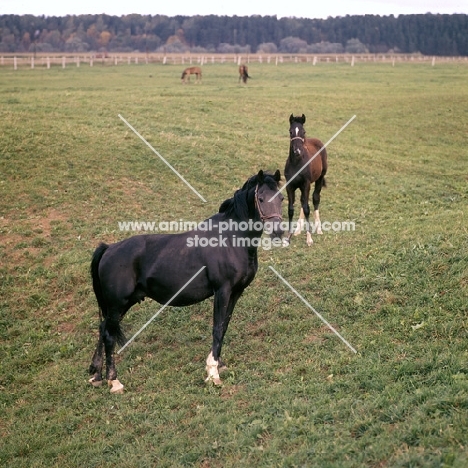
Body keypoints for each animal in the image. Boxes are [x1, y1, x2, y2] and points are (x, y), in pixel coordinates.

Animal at [89, 170, 284, 394]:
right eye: (260, 198)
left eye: (281, 198)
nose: (278, 231)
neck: (230, 238)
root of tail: (109, 248)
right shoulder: (222, 291)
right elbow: (217, 327)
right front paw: (213, 373)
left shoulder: (236, 292)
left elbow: (224, 325)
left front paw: (218, 363)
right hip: (117, 305)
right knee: (109, 336)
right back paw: (114, 381)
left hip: (119, 305)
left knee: (103, 328)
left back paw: (96, 375)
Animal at [284, 114, 328, 247]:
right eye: (290, 131)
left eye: (303, 132)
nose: (297, 151)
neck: (297, 163)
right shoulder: (290, 186)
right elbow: (291, 209)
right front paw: (288, 237)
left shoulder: (306, 184)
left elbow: (307, 208)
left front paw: (309, 239)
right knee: (303, 200)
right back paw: (298, 230)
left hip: (320, 178)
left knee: (315, 198)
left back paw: (318, 229)